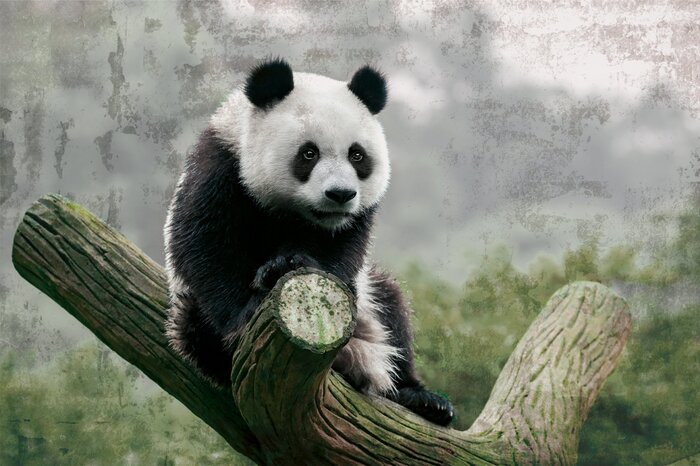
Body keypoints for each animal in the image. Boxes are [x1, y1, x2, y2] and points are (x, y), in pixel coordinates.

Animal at [163, 58, 454, 426]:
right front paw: (248, 309)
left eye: (357, 155)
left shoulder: (351, 222)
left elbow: (341, 251)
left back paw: (422, 399)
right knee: (193, 328)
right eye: (309, 153)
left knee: (392, 309)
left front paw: (289, 263)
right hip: (189, 313)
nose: (340, 194)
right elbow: (206, 247)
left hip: (370, 306)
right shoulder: (220, 168)